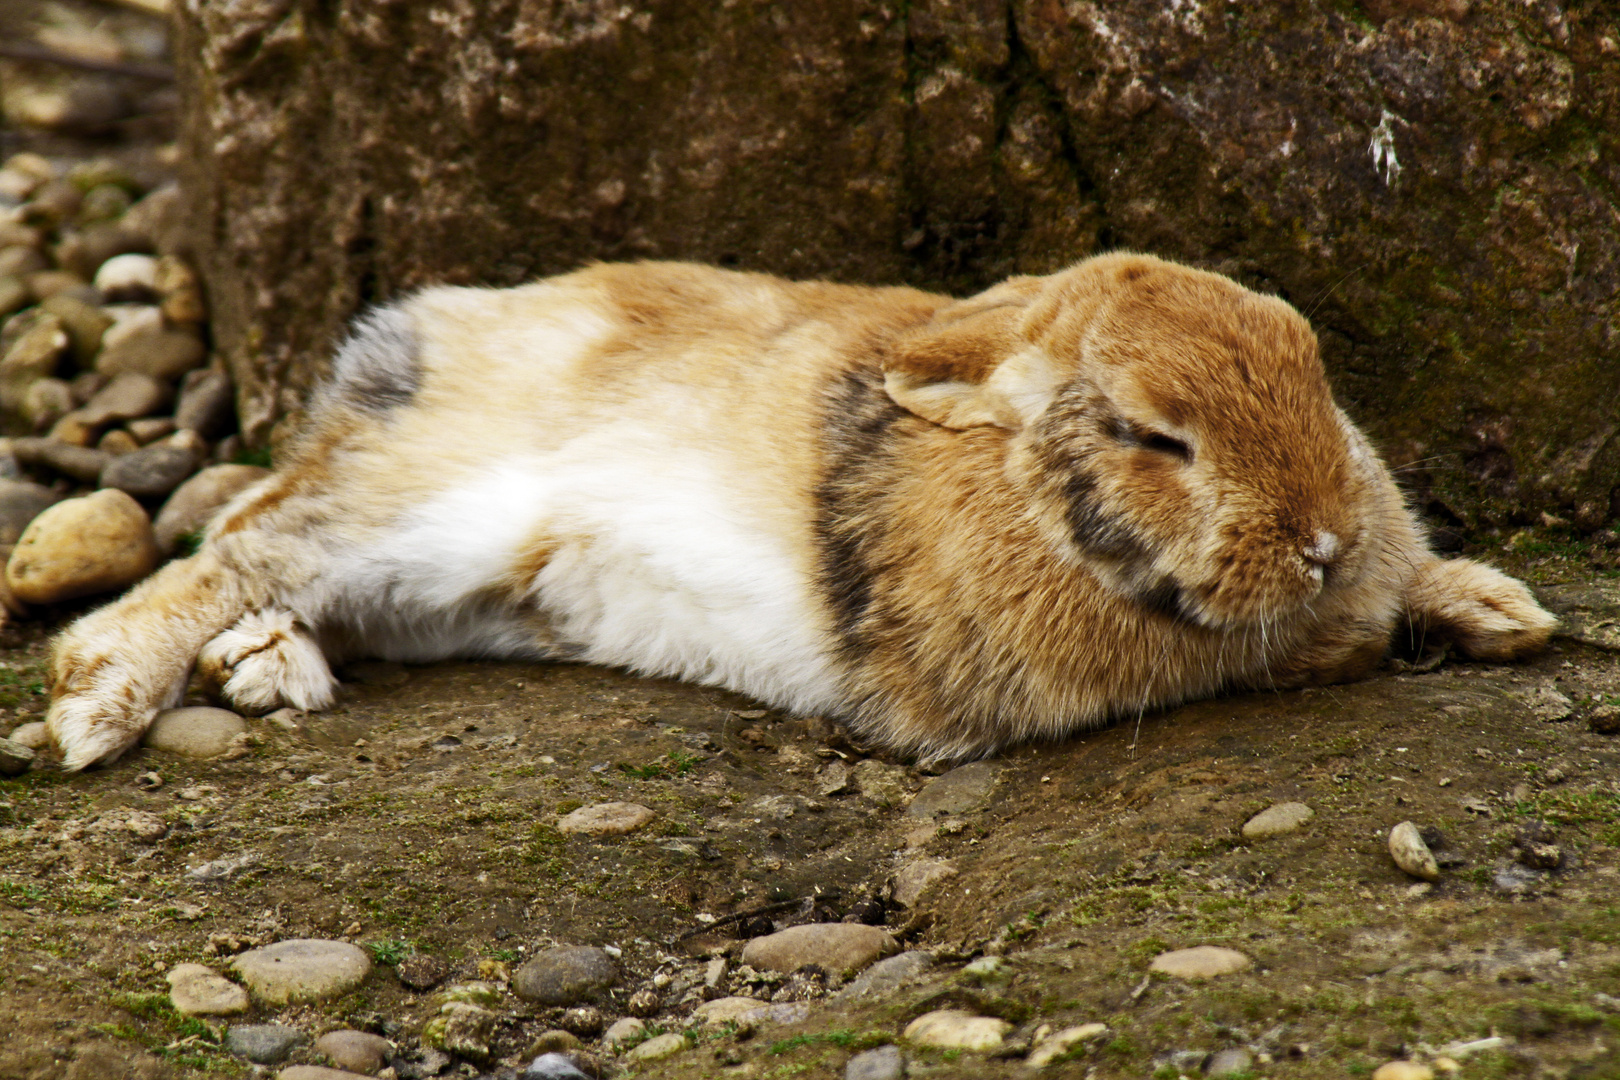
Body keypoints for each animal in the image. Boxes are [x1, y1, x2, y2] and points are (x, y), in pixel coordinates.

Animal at [44, 254, 1548, 773]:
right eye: (1152, 435)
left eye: (1306, 356)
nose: (1324, 539)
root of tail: (407, 339)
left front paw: (1501, 613)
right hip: (423, 510)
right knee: (236, 551)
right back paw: (97, 711)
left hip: (445, 588)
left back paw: (270, 672)